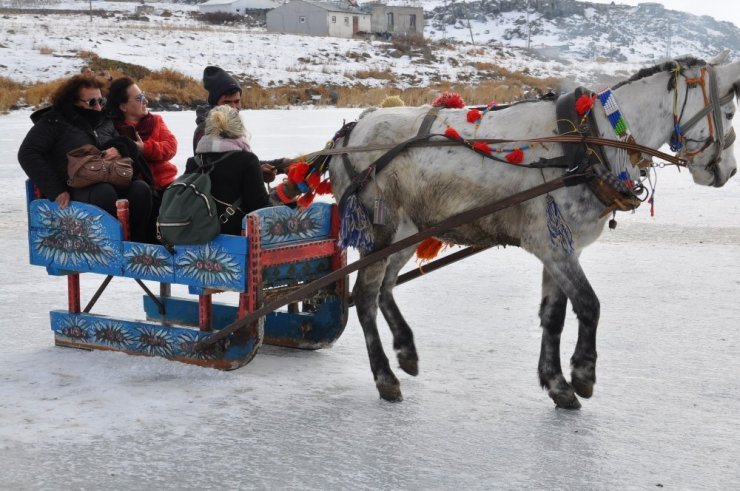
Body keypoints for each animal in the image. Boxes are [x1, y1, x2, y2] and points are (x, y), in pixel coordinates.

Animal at [330, 52, 740, 412]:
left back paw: (406, 350)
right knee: (365, 297)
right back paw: (385, 377)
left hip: (407, 231)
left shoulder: (563, 247)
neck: (590, 141)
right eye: (731, 112)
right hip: (379, 230)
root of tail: (353, 130)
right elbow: (589, 304)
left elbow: (554, 315)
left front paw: (556, 383)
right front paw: (582, 374)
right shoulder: (553, 245)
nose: (729, 171)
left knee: (385, 288)